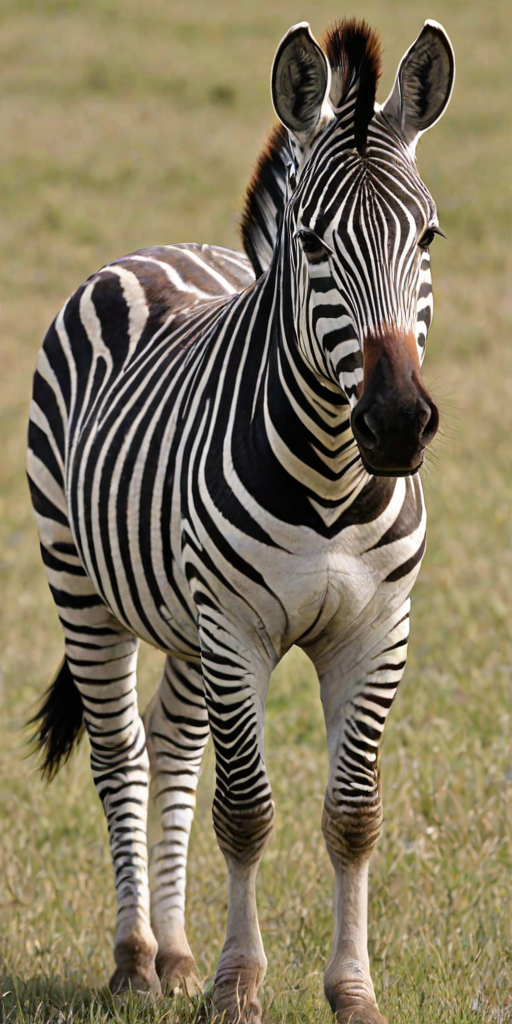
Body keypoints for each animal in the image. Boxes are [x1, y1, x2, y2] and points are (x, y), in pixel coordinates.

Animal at [27, 18, 454, 1024]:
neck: (333, 477)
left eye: (427, 235)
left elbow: (353, 817)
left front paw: (351, 991)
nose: (397, 423)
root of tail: (155, 250)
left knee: (176, 748)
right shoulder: (238, 629)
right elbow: (248, 812)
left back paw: (177, 952)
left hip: (183, 620)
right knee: (123, 755)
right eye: (312, 242)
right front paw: (237, 986)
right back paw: (137, 957)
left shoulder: (377, 631)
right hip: (84, 587)